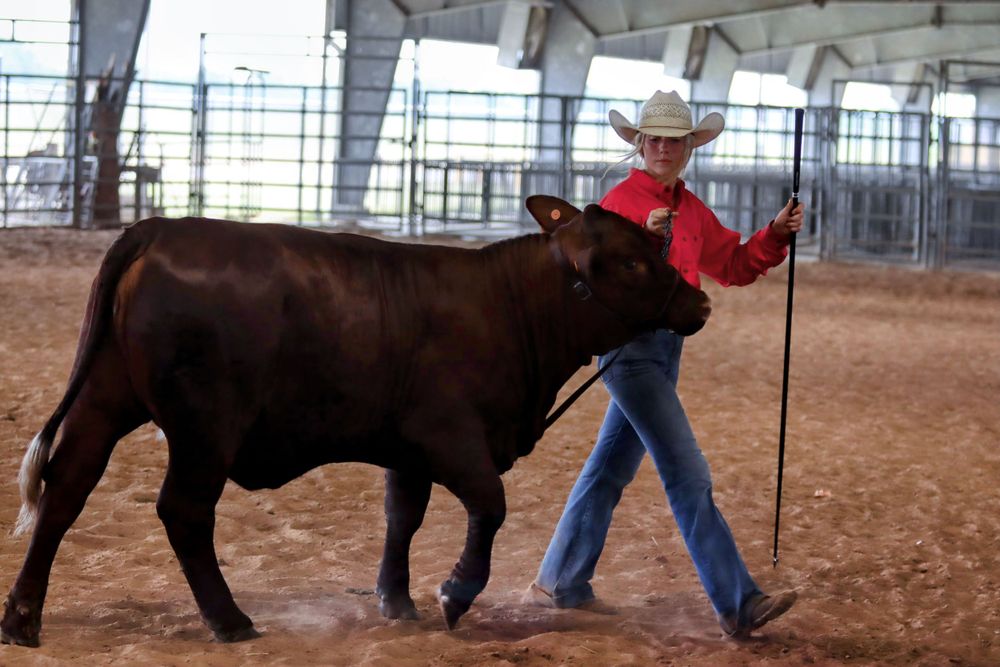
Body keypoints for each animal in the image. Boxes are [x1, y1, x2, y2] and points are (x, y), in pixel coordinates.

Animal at [1, 195, 710, 647]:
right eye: (633, 263)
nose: (700, 302)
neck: (508, 304)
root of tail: (158, 229)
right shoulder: (451, 437)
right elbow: (489, 506)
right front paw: (455, 593)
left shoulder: (407, 450)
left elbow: (403, 517)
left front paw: (396, 600)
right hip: (205, 428)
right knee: (183, 511)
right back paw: (229, 620)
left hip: (104, 398)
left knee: (66, 489)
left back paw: (23, 618)